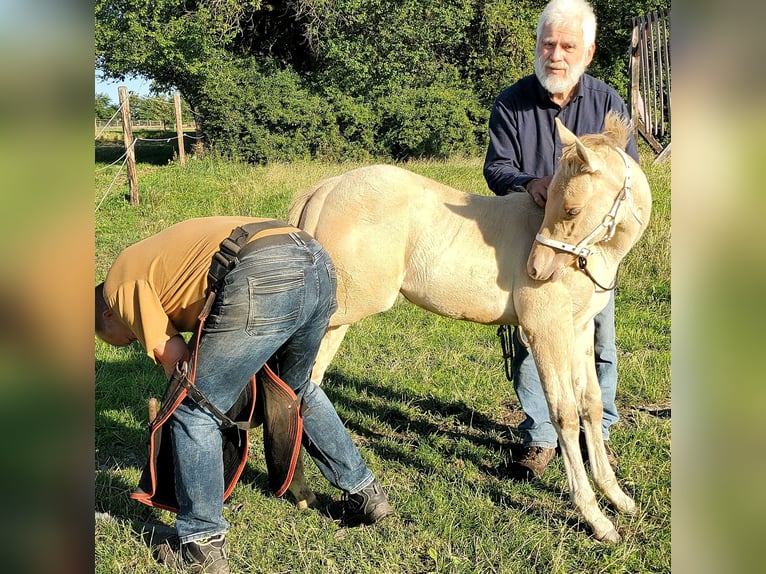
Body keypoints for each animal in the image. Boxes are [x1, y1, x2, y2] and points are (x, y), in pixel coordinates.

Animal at [288, 113, 656, 544]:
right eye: (556, 202)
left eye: (570, 208)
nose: (536, 270)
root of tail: (323, 190)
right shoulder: (546, 329)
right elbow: (564, 413)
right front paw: (595, 518)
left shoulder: (579, 330)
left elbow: (591, 406)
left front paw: (618, 498)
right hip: (333, 317)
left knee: (303, 387)